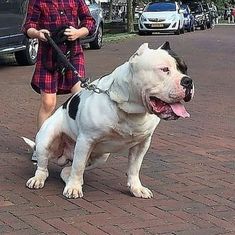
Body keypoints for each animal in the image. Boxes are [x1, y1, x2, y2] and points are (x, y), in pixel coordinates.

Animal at [23, 41, 194, 198]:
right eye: (164, 69)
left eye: (185, 69)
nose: (188, 81)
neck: (131, 109)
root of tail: (64, 156)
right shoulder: (85, 140)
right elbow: (78, 166)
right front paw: (74, 188)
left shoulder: (142, 144)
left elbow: (134, 168)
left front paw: (136, 188)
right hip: (46, 140)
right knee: (45, 166)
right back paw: (39, 179)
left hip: (101, 157)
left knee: (67, 170)